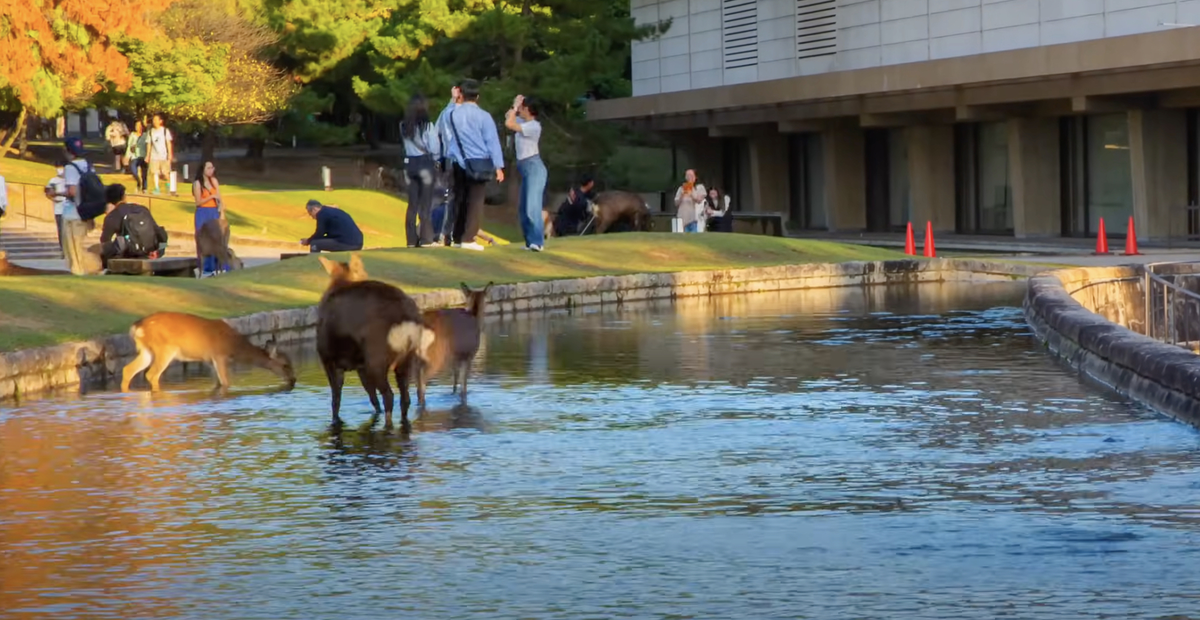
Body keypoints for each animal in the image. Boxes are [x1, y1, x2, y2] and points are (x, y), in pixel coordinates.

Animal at [118, 309, 295, 390]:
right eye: (285, 364)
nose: (294, 380)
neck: (234, 346)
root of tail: (137, 327)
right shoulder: (220, 356)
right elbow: (226, 382)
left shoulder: (209, 360)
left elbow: (218, 382)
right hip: (164, 349)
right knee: (151, 374)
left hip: (146, 351)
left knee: (128, 369)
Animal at [314, 251, 436, 429]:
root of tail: (406, 318)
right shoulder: (360, 366)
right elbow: (371, 396)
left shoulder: (329, 360)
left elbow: (336, 400)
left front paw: (335, 421)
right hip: (407, 359)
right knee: (405, 398)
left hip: (376, 360)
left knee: (389, 396)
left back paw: (387, 425)